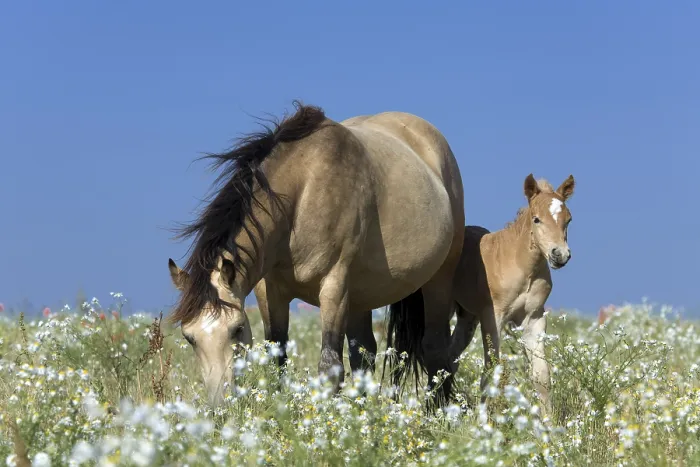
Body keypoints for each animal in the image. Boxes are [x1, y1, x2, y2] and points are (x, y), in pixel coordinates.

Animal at [166, 102, 465, 406]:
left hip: (437, 279)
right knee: (364, 354)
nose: (221, 405)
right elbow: (278, 360)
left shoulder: (333, 287)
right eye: (189, 337)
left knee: (434, 346)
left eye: (237, 328)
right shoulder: (270, 293)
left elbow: (330, 365)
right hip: (360, 297)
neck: (302, 194)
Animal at [447, 173, 575, 415]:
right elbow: (491, 371)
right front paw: (483, 420)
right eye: (536, 219)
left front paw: (549, 422)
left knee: (450, 356)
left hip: (467, 317)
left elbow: (541, 375)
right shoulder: (493, 317)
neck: (521, 266)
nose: (560, 255)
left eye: (569, 219)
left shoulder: (534, 319)